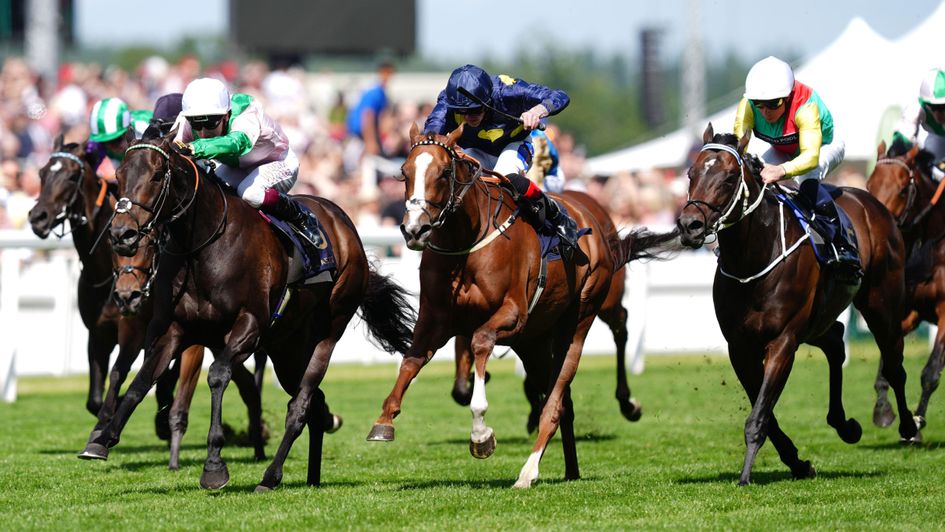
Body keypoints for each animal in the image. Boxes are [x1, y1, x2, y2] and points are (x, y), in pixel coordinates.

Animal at [82, 135, 416, 492]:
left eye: (158, 175)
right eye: (119, 175)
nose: (122, 234)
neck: (203, 246)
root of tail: (344, 223)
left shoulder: (248, 326)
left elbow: (217, 375)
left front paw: (214, 465)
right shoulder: (173, 330)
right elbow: (141, 381)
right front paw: (100, 440)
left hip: (328, 329)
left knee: (301, 404)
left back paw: (270, 476)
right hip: (287, 347)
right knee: (314, 402)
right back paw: (311, 476)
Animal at [366, 123, 676, 486]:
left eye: (443, 173)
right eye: (403, 173)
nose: (415, 229)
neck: (467, 241)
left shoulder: (512, 314)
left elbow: (481, 343)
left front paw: (481, 435)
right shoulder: (437, 319)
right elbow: (412, 361)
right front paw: (384, 421)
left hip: (580, 317)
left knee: (567, 388)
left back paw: (530, 470)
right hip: (534, 341)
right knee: (561, 401)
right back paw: (570, 469)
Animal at [676, 125, 920, 486]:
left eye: (730, 177)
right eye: (691, 173)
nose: (689, 225)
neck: (754, 257)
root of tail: (874, 204)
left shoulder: (783, 342)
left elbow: (759, 415)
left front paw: (746, 475)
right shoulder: (740, 348)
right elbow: (766, 413)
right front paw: (798, 462)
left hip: (881, 303)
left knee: (893, 364)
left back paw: (907, 425)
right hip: (818, 320)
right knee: (836, 342)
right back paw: (845, 425)